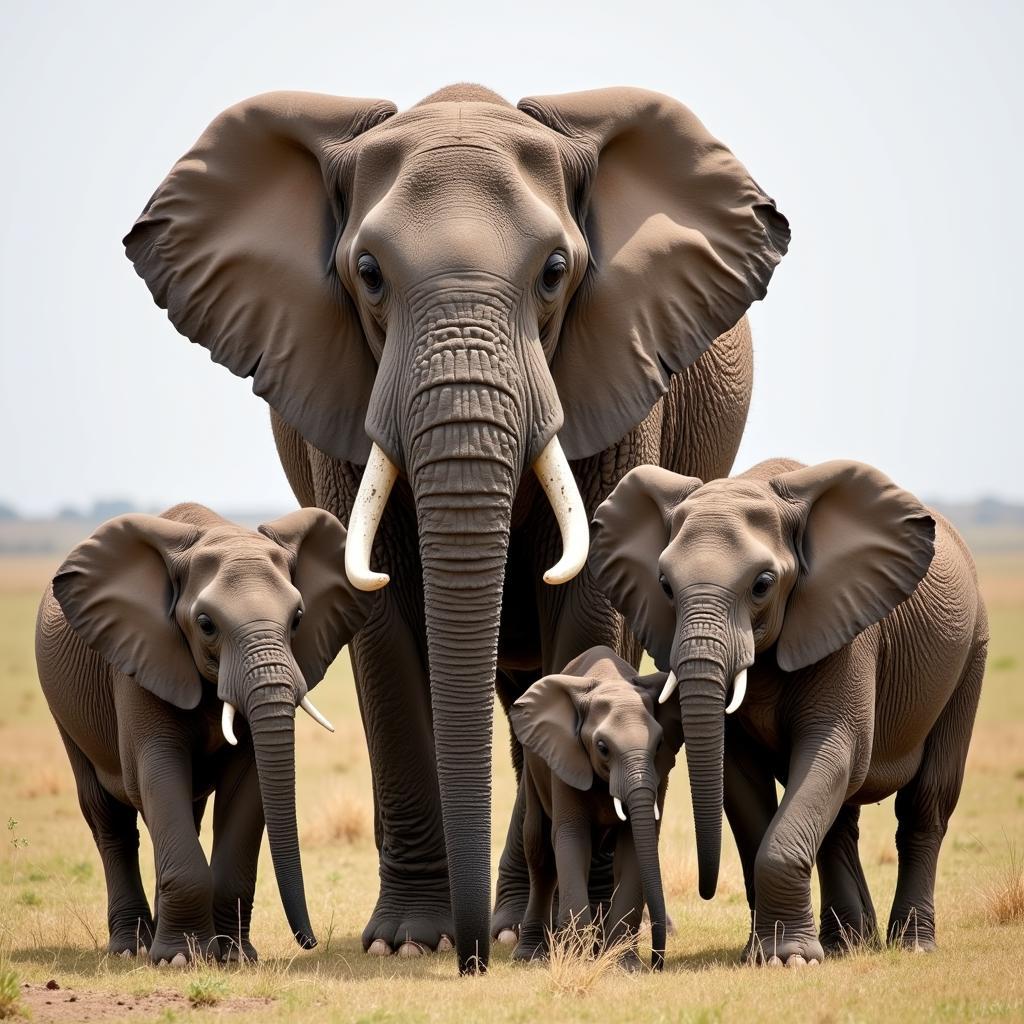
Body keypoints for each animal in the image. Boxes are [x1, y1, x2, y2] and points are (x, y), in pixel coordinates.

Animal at [36, 503, 372, 966]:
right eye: (206, 624)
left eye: (298, 619)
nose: (311, 941)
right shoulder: (142, 659)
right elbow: (156, 771)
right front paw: (179, 959)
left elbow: (248, 785)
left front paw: (233, 957)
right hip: (63, 710)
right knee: (108, 817)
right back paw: (131, 948)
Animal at [509, 647, 684, 966]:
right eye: (602, 747)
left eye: (658, 744)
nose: (657, 962)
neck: (610, 681)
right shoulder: (565, 758)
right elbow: (572, 838)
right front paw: (576, 961)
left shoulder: (660, 772)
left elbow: (634, 845)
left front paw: (623, 965)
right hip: (535, 767)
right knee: (539, 852)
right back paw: (532, 956)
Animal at [589, 460, 987, 962]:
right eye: (665, 586)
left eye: (762, 585)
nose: (704, 890)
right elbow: (741, 775)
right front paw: (765, 954)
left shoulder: (847, 630)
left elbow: (834, 750)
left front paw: (788, 958)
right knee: (839, 818)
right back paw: (847, 943)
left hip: (971, 653)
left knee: (924, 804)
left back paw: (912, 945)